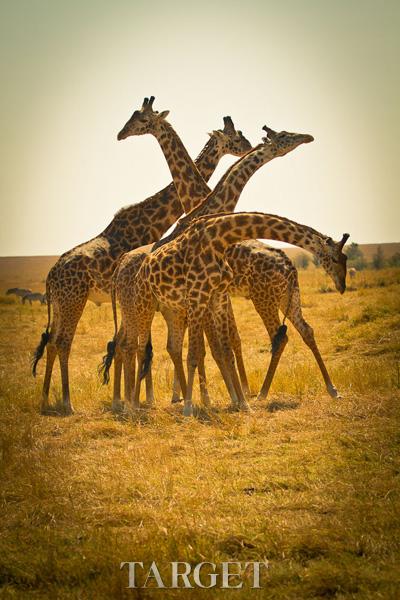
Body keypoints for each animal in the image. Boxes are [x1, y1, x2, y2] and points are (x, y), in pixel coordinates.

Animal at [32, 98, 250, 418]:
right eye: (235, 137)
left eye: (139, 118)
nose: (121, 134)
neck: (154, 219)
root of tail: (50, 276)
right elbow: (143, 345)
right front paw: (144, 399)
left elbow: (142, 345)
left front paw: (142, 399)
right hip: (75, 300)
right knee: (65, 342)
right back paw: (69, 402)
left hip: (61, 303)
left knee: (52, 342)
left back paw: (47, 399)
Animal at [118, 212, 346, 418]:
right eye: (336, 258)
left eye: (344, 258)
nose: (342, 286)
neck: (220, 239)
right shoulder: (198, 297)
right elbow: (196, 354)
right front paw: (190, 407)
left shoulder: (217, 298)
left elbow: (225, 351)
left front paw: (242, 403)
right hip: (146, 304)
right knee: (139, 347)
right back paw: (134, 405)